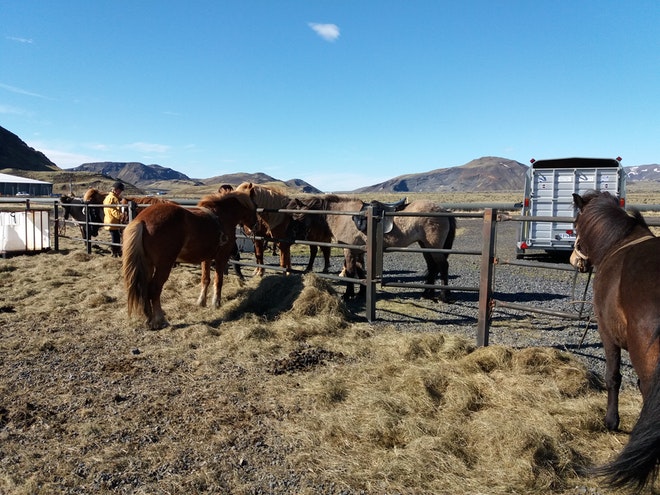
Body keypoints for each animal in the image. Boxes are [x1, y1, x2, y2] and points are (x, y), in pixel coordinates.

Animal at [122, 192, 256, 332]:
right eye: (255, 207)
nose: (254, 226)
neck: (222, 215)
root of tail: (142, 220)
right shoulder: (221, 257)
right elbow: (218, 280)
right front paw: (216, 303)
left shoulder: (206, 258)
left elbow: (205, 279)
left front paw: (201, 302)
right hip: (163, 265)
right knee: (154, 288)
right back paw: (159, 320)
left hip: (148, 265)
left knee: (145, 288)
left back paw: (148, 319)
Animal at [290, 196, 458, 300]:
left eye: (300, 216)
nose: (294, 236)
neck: (344, 215)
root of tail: (443, 211)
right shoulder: (358, 251)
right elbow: (360, 270)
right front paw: (361, 293)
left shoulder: (349, 250)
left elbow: (350, 272)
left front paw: (348, 295)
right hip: (425, 246)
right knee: (433, 267)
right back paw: (427, 293)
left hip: (434, 247)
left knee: (443, 266)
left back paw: (443, 296)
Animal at [568, 192, 660, 490]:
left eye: (575, 223)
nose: (575, 260)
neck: (619, 242)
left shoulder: (607, 334)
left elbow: (613, 377)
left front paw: (611, 421)